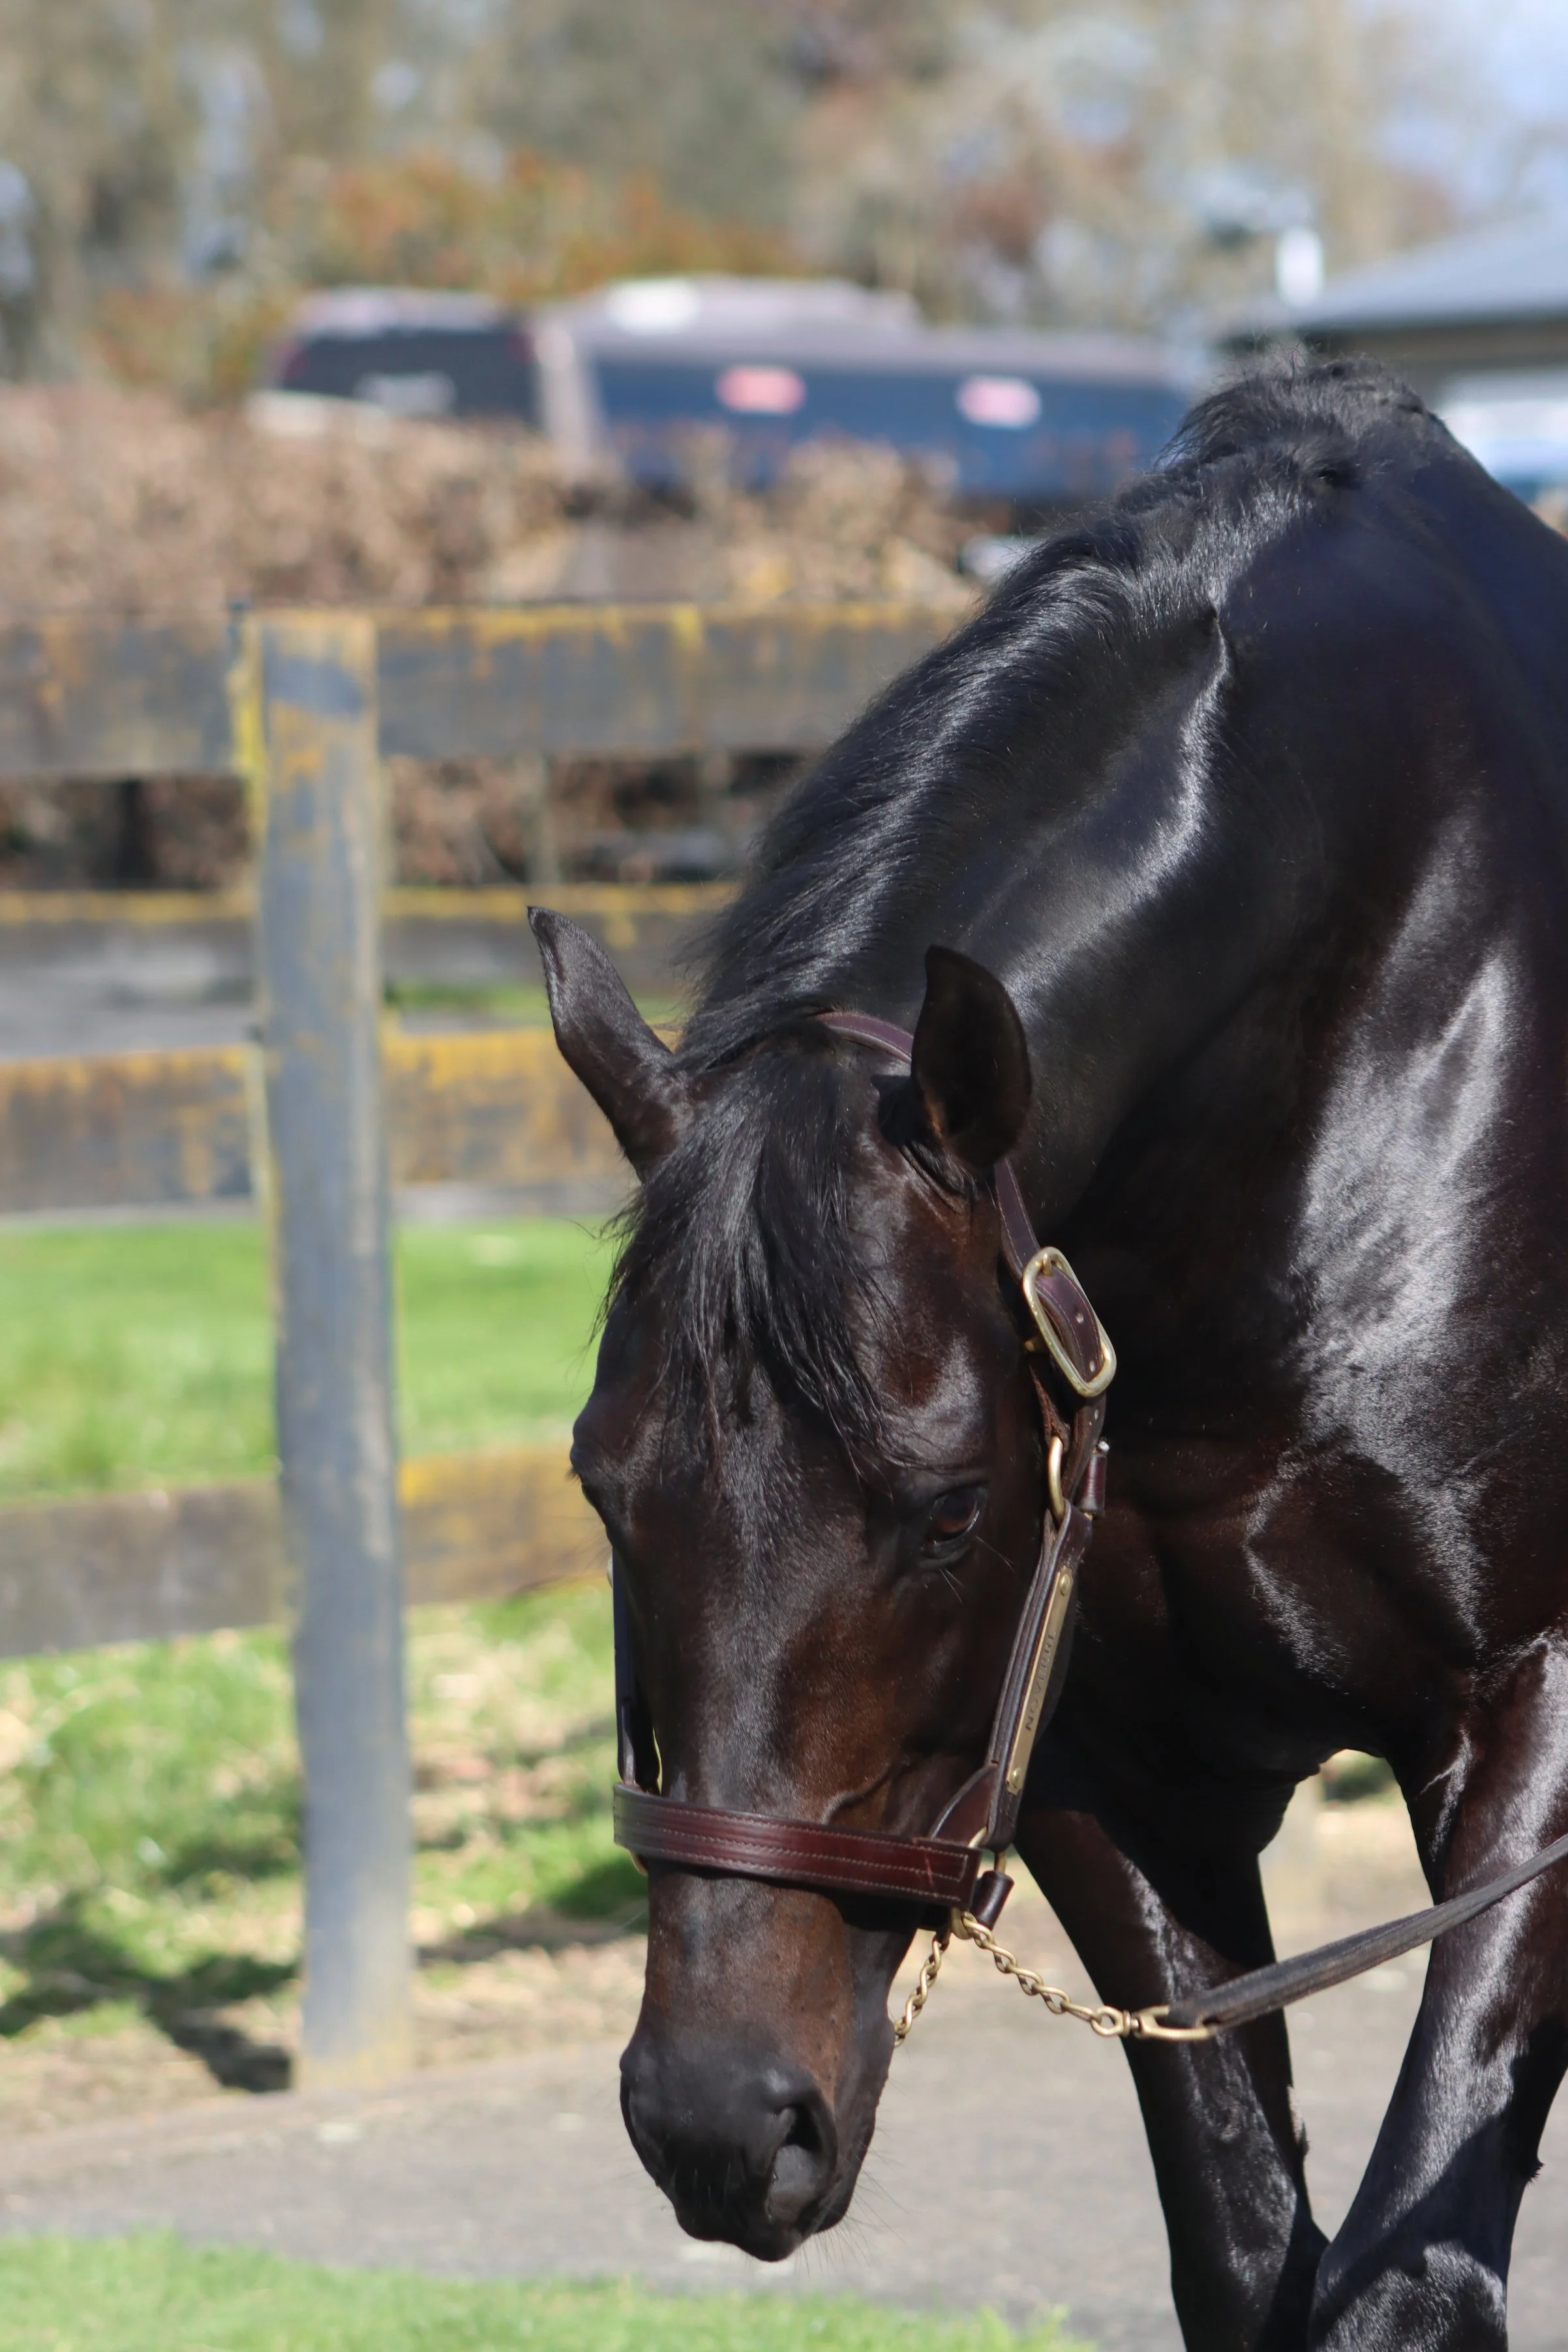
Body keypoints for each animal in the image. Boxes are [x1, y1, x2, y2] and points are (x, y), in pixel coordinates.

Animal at [531, 359, 1568, 2350]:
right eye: (603, 1495)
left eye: (944, 1511)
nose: (720, 2117)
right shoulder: (1106, 1766)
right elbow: (1250, 2254)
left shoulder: (1536, 1708)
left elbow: (1405, 2278)